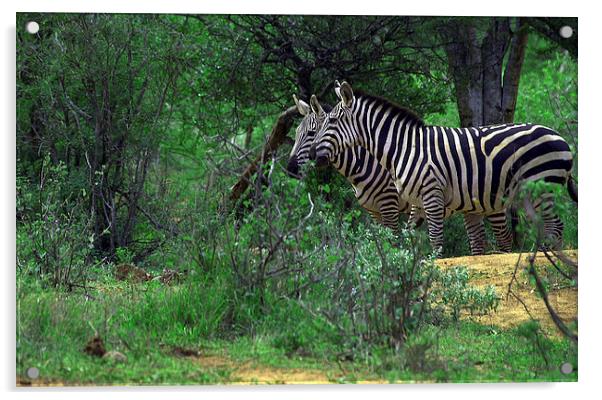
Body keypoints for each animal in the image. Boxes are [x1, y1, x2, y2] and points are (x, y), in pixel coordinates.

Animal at [286, 95, 516, 255]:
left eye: (311, 133)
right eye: (296, 133)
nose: (290, 169)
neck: (365, 163)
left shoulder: (389, 204)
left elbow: (392, 240)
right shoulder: (373, 211)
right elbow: (380, 243)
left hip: (493, 204)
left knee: (505, 240)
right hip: (472, 205)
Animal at [308, 80, 576, 253]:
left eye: (332, 121)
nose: (312, 156)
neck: (402, 148)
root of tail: (560, 136)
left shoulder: (431, 195)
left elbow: (435, 240)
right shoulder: (416, 201)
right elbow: (408, 239)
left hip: (542, 188)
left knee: (556, 227)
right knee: (552, 227)